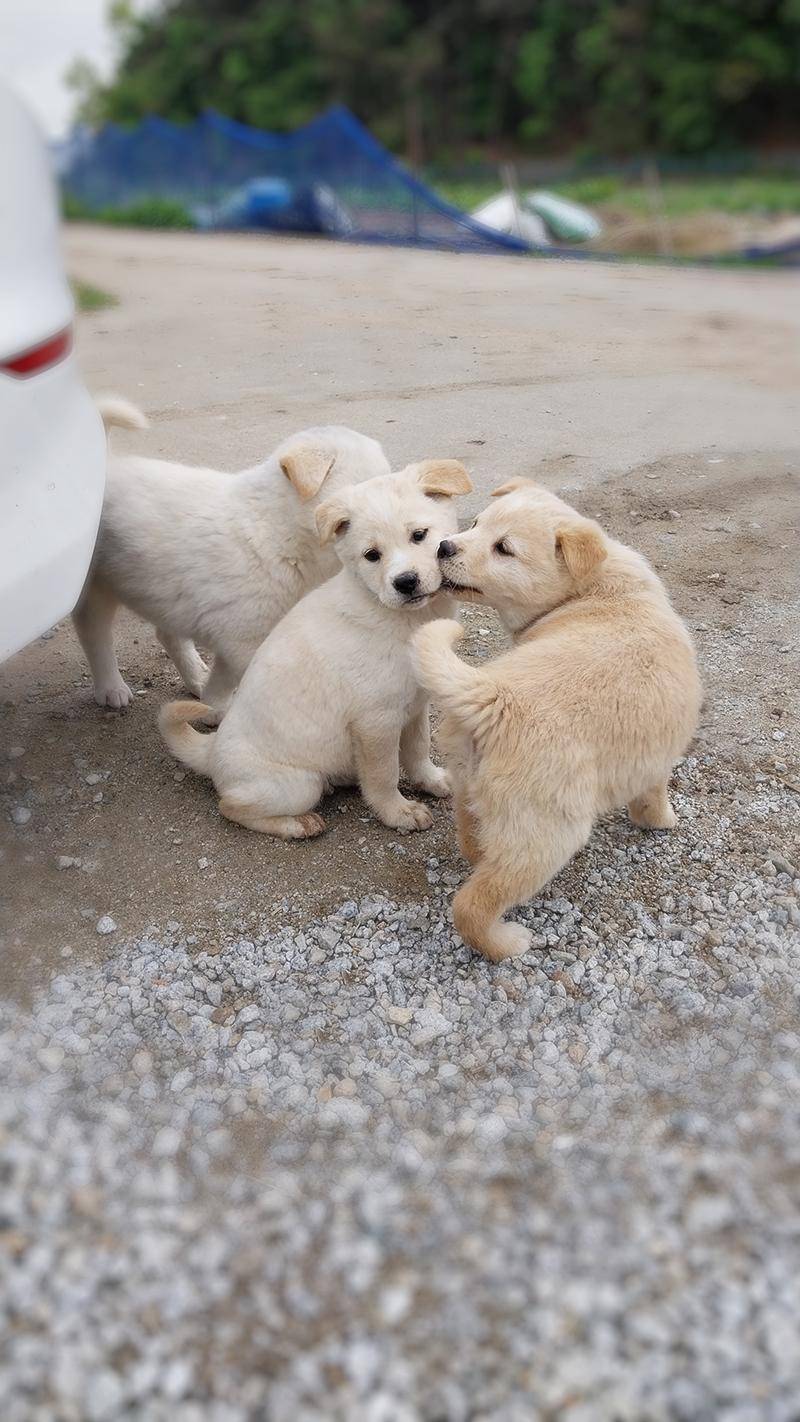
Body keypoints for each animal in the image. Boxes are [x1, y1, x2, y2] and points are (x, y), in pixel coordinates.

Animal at [73, 398, 392, 711]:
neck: (281, 531)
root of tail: (108, 463)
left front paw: (211, 703)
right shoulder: (244, 639)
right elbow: (236, 682)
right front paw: (220, 711)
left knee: (167, 634)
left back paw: (195, 678)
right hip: (96, 585)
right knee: (95, 632)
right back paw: (111, 688)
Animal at [412, 480, 701, 966]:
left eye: (503, 547)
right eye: (476, 523)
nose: (444, 546)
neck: (592, 591)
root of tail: (496, 697)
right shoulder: (656, 757)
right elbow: (654, 795)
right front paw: (662, 821)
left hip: (469, 787)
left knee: (475, 845)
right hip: (547, 832)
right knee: (473, 904)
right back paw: (506, 943)